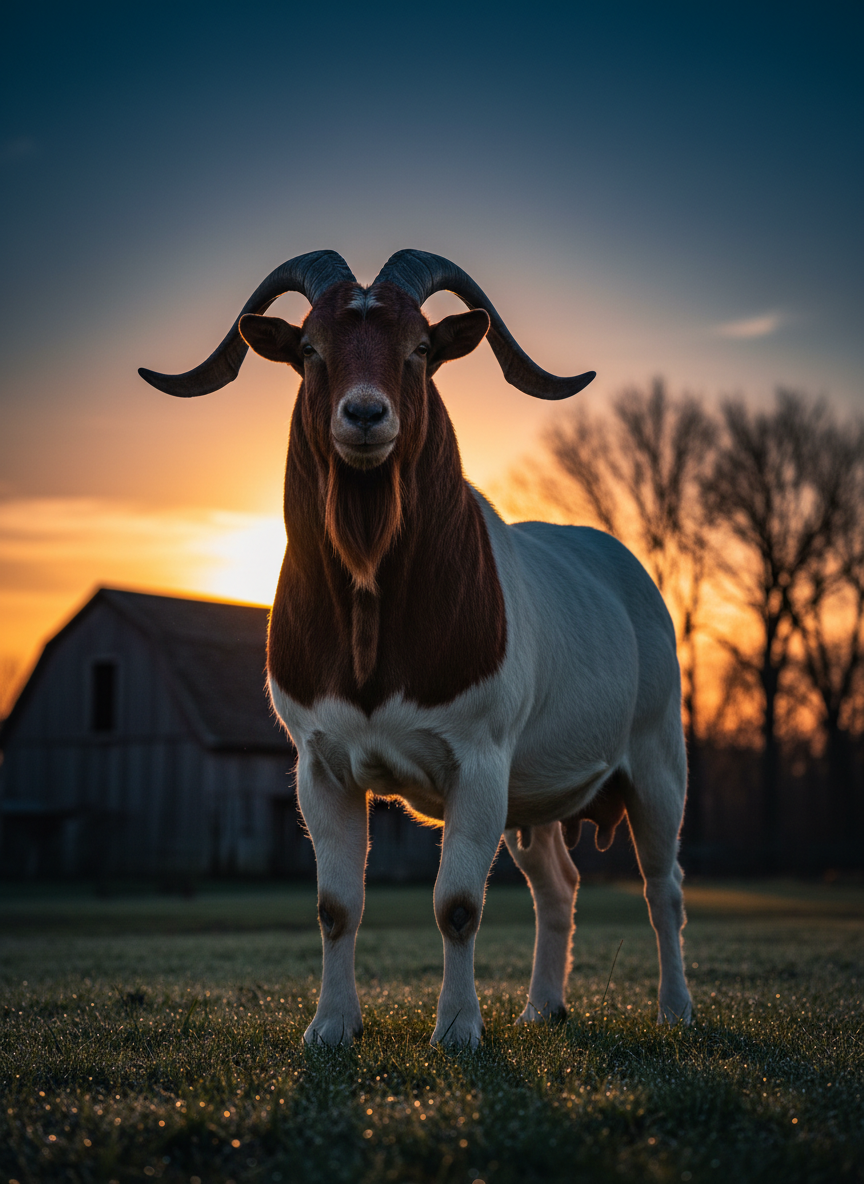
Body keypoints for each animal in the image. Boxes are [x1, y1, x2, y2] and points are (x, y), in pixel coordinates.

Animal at [140, 249, 692, 1046]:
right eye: (311, 350)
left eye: (421, 350)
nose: (366, 415)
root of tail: (632, 577)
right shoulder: (321, 767)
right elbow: (336, 907)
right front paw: (330, 1027)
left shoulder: (480, 763)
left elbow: (457, 904)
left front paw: (458, 1029)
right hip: (535, 799)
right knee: (559, 887)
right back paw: (541, 1008)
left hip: (656, 766)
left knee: (663, 887)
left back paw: (675, 1010)